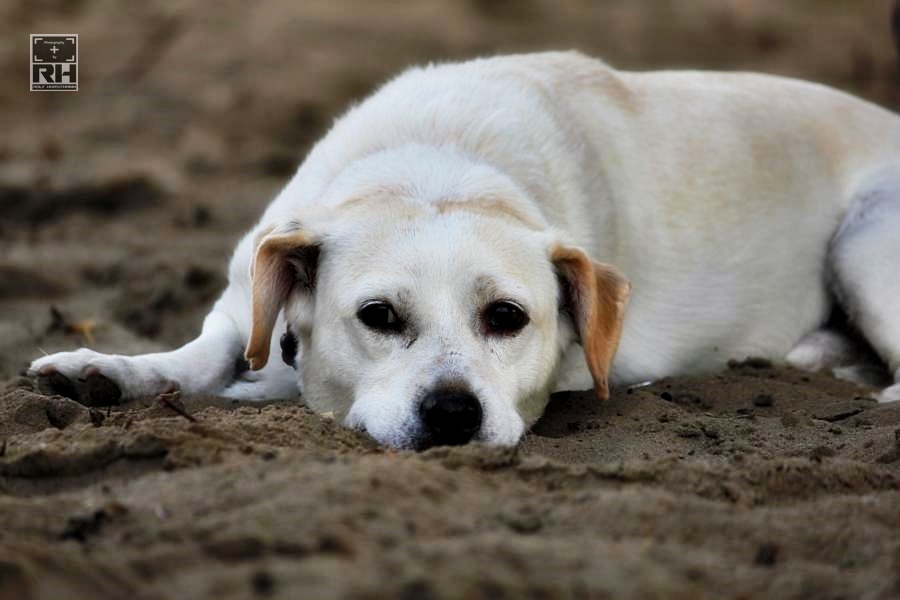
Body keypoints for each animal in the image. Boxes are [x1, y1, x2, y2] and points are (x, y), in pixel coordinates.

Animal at [28, 52, 900, 450]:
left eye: (508, 317)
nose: (453, 413)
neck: (434, 167)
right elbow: (202, 355)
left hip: (863, 241)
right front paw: (104, 372)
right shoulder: (248, 296)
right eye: (377, 316)